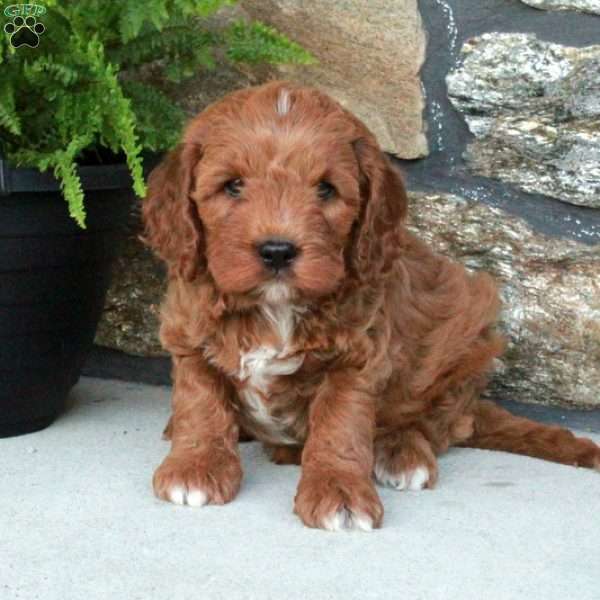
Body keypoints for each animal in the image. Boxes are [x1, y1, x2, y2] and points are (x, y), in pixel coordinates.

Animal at [142, 79, 600, 528]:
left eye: (326, 189)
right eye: (233, 185)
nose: (277, 251)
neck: (276, 309)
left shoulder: (357, 356)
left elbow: (340, 425)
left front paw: (338, 491)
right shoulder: (189, 333)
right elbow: (201, 404)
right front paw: (196, 465)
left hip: (464, 332)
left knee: (435, 419)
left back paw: (401, 452)